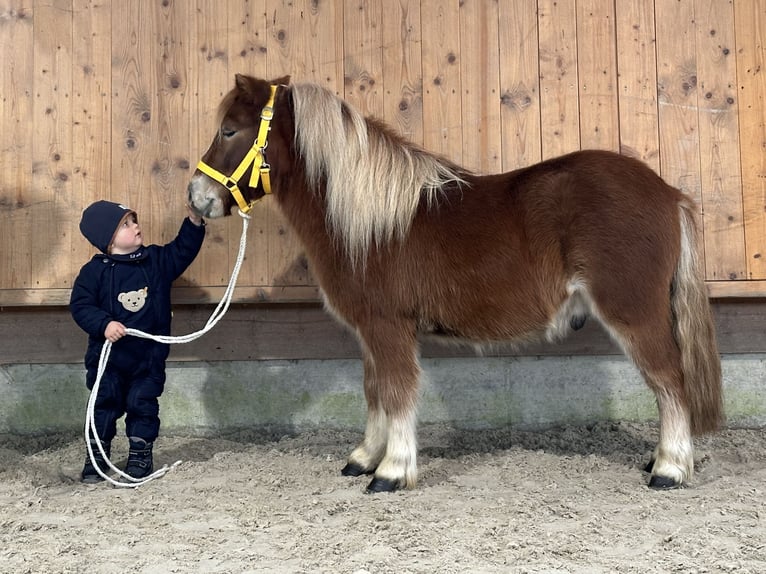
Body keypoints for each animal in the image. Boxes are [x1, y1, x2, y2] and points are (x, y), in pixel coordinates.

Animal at [189, 73, 724, 496]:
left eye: (229, 129)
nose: (198, 198)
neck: (371, 221)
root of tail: (669, 194)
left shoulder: (389, 327)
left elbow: (398, 393)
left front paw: (391, 471)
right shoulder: (370, 333)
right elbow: (374, 390)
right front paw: (363, 457)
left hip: (633, 313)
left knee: (670, 381)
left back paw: (670, 469)